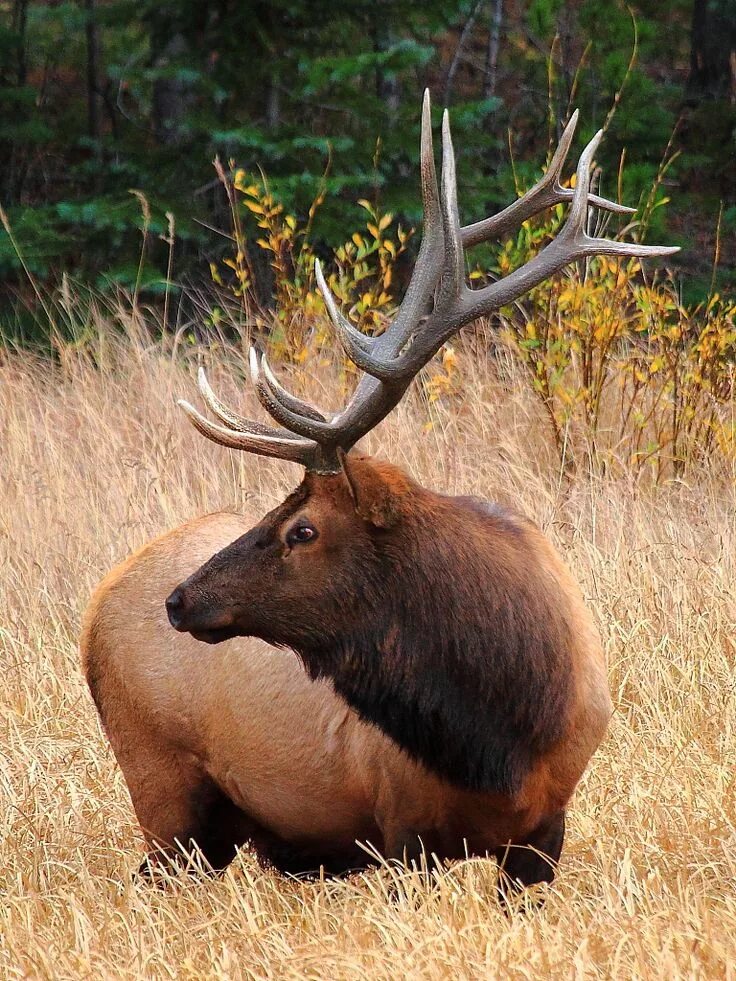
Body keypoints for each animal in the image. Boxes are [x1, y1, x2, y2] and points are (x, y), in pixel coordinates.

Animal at [82, 95, 680, 908]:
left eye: (302, 529)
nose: (179, 599)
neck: (505, 734)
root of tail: (96, 605)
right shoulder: (402, 832)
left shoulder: (545, 834)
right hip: (163, 786)